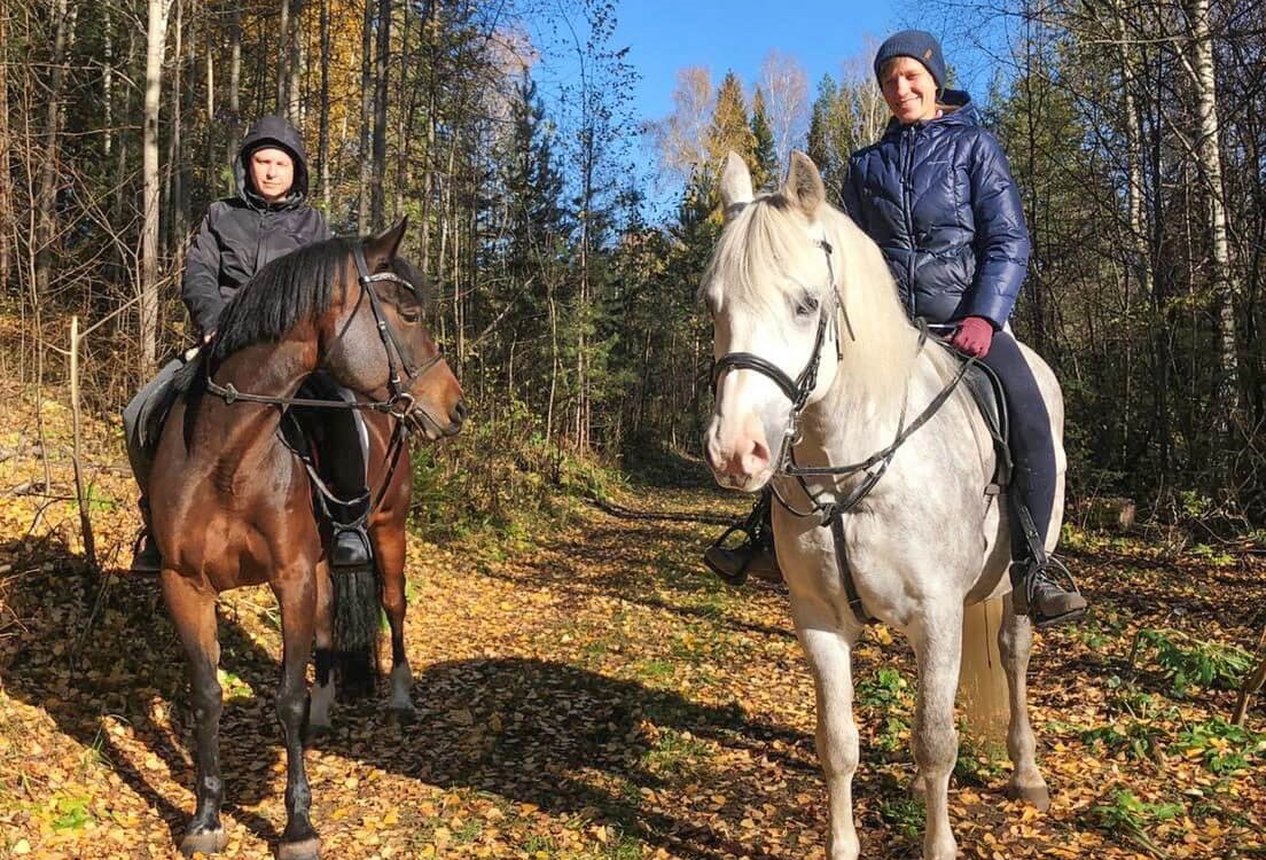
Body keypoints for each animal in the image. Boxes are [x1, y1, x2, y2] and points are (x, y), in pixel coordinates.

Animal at [149, 220, 465, 856]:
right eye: (409, 314)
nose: (456, 406)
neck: (226, 455)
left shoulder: (289, 576)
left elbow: (285, 699)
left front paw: (297, 826)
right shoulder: (185, 585)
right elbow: (207, 696)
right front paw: (206, 819)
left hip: (389, 530)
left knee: (393, 605)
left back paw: (400, 696)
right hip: (323, 561)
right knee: (325, 624)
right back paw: (326, 705)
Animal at [698, 149, 1063, 860]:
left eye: (807, 304)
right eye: (713, 305)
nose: (735, 452)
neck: (851, 469)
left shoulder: (939, 614)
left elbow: (935, 743)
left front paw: (940, 845)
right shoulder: (819, 618)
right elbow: (838, 744)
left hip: (1020, 580)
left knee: (1014, 653)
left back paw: (1027, 770)